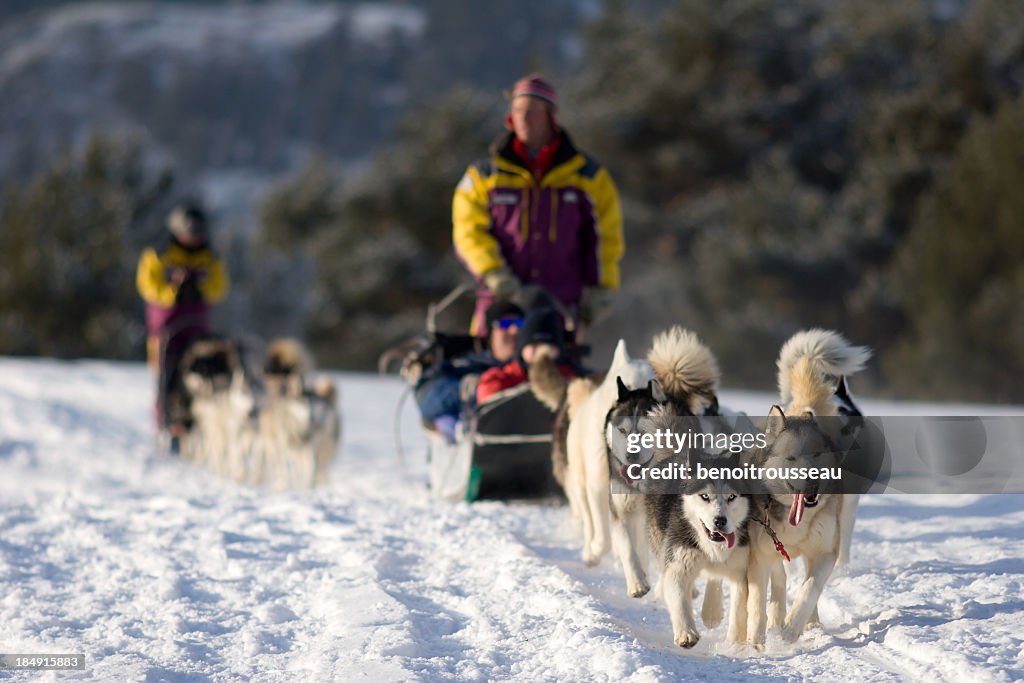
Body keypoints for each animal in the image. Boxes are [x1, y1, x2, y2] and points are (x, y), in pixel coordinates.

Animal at [179, 337, 254, 481]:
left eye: (250, 395)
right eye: (242, 395)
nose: (251, 410)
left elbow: (242, 452)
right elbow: (233, 456)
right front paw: (236, 473)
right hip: (213, 435)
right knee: (217, 455)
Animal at [256, 337, 339, 489]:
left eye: (316, 405)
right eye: (303, 404)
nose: (312, 418)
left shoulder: (309, 449)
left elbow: (310, 470)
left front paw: (308, 488)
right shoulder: (283, 446)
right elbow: (284, 469)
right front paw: (285, 487)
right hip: (272, 446)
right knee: (276, 464)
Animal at [647, 473, 753, 651]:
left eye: (731, 497)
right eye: (705, 496)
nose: (720, 521)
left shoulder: (740, 566)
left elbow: (738, 607)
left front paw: (734, 644)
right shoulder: (680, 560)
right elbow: (678, 596)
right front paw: (686, 633)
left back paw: (712, 612)